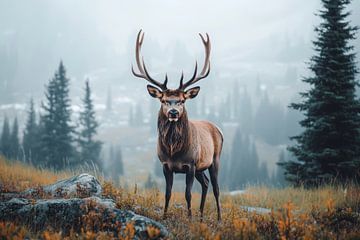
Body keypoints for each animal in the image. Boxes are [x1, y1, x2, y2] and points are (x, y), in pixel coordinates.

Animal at [131, 30, 224, 221]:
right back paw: (201, 216)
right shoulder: (166, 165)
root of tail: (219, 130)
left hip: (215, 159)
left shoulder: (191, 164)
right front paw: (165, 216)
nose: (173, 112)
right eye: (164, 100)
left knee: (216, 188)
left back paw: (218, 218)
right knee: (205, 183)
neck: (174, 152)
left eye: (182, 100)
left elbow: (188, 194)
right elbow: (167, 193)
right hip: (201, 168)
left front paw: (189, 218)